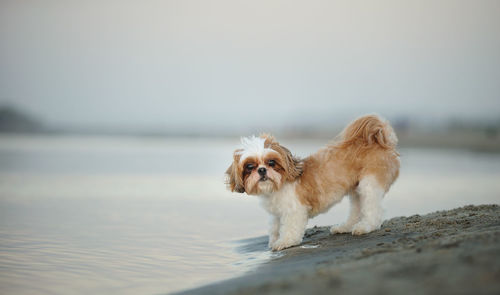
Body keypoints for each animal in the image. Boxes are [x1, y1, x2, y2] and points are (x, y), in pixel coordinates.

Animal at [225, 114, 400, 251]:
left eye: (271, 162)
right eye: (250, 166)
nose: (261, 170)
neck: (278, 186)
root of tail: (378, 140)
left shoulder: (294, 210)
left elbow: (290, 228)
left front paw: (284, 241)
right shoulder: (276, 213)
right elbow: (274, 227)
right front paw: (274, 239)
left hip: (369, 184)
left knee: (373, 209)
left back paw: (366, 227)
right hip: (356, 189)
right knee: (356, 208)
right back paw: (345, 227)